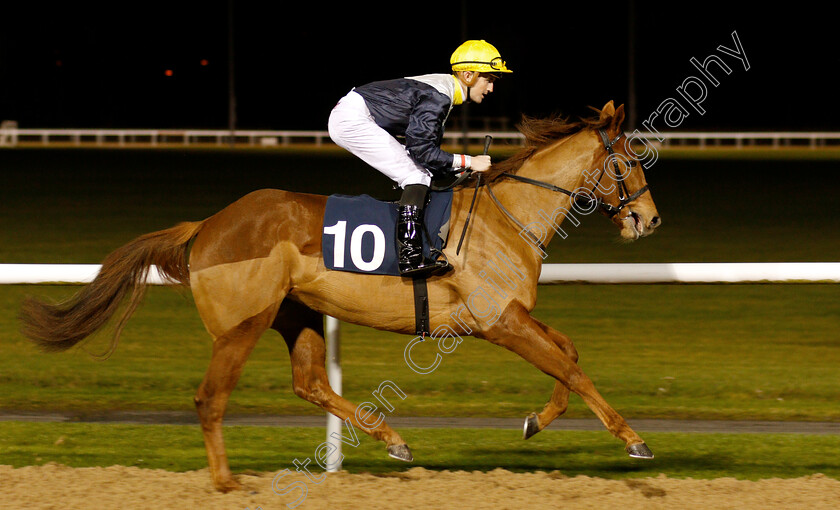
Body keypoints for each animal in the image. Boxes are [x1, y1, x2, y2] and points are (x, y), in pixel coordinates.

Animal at [19, 100, 660, 490]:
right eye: (628, 160)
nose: (648, 220)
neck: (507, 215)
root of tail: (207, 225)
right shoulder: (497, 320)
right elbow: (570, 367)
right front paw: (634, 441)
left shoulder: (511, 316)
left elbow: (568, 353)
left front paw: (534, 421)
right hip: (242, 324)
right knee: (210, 398)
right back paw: (225, 482)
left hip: (295, 312)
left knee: (308, 382)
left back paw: (392, 441)